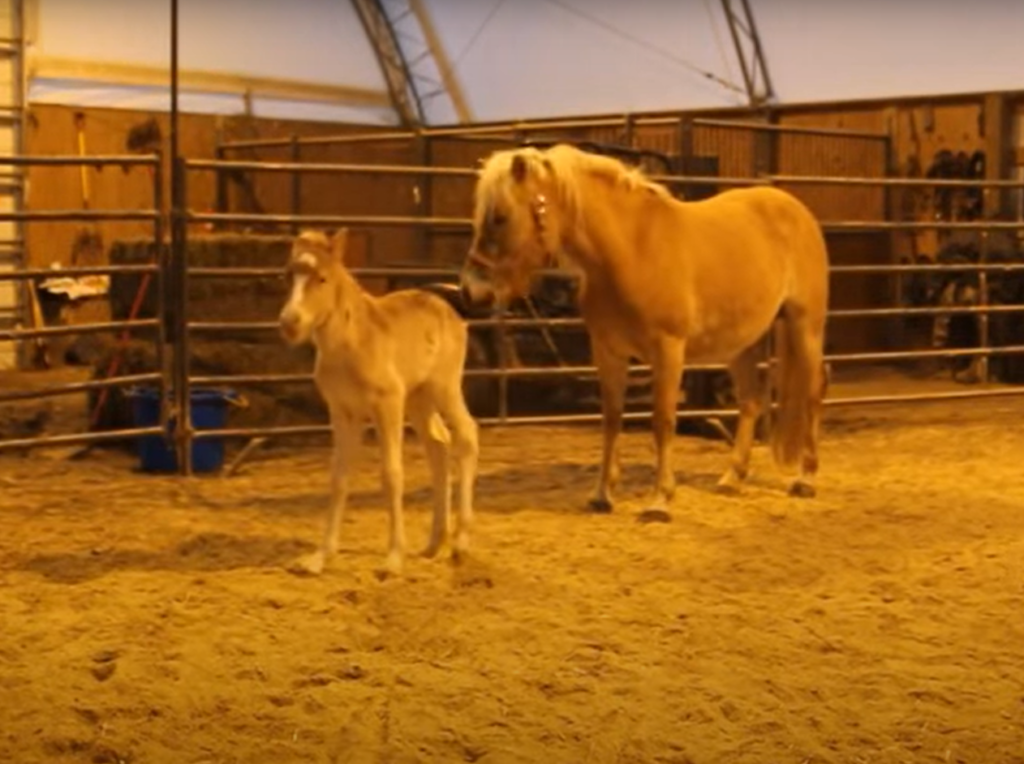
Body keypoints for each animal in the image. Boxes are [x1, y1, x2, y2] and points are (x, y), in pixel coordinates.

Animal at [278, 228, 479, 576]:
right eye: (290, 276)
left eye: (322, 278)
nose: (290, 322)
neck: (351, 343)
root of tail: (448, 306)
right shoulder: (342, 413)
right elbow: (339, 478)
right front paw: (320, 557)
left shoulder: (387, 405)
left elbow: (392, 475)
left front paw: (393, 559)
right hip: (419, 397)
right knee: (438, 445)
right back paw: (433, 543)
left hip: (445, 386)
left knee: (466, 436)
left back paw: (460, 544)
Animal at [459, 143, 829, 515]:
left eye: (500, 217)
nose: (472, 290)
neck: (633, 249)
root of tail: (795, 209)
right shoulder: (607, 350)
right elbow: (611, 418)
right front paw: (601, 494)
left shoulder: (668, 350)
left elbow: (662, 420)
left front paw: (660, 500)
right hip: (741, 344)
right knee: (750, 402)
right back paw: (731, 478)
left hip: (805, 326)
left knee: (812, 392)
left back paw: (806, 480)